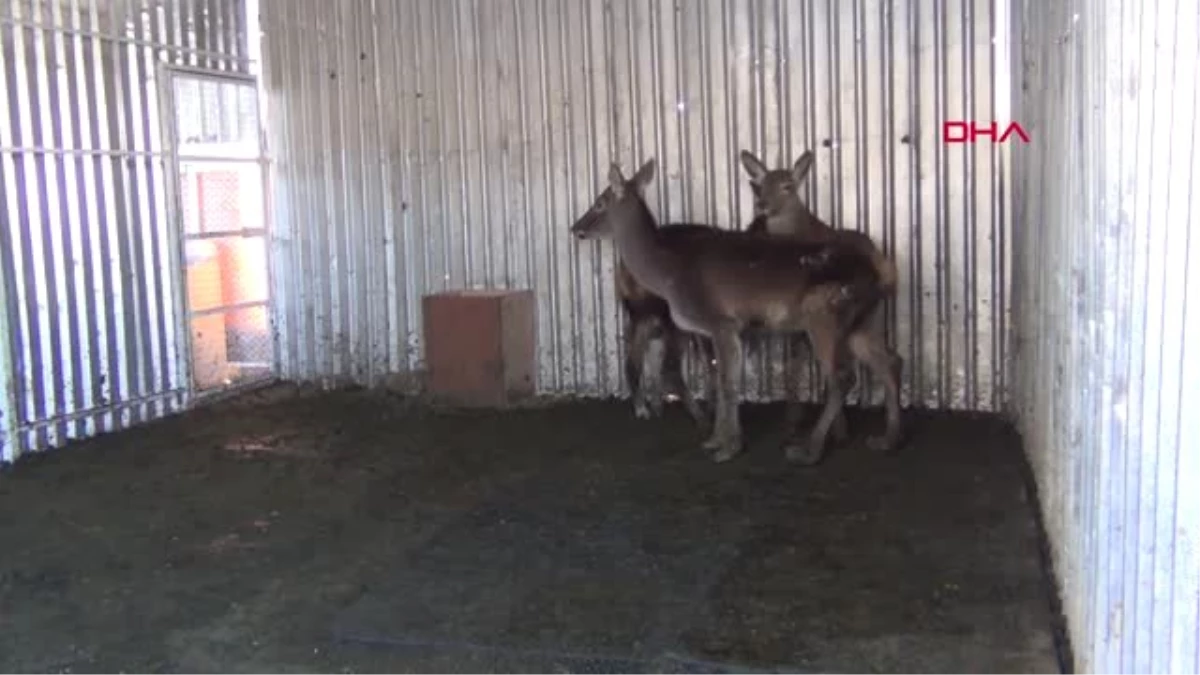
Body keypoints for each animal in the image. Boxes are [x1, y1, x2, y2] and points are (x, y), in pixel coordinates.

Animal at [571, 157, 902, 461]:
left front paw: (728, 447)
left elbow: (728, 383)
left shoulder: (722, 321)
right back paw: (887, 438)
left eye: (599, 203)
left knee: (843, 376)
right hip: (865, 320)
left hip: (823, 312)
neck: (667, 274)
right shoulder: (714, 329)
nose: (576, 228)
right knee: (887, 361)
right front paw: (716, 440)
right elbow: (719, 379)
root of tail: (877, 274)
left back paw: (809, 449)